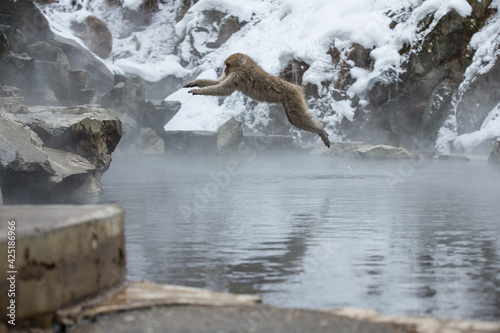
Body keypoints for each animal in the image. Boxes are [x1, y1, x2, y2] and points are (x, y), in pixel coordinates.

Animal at [182, 52, 330, 147]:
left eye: (228, 65)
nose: (225, 70)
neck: (244, 65)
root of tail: (295, 87)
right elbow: (217, 83)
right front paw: (195, 82)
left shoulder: (238, 75)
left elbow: (223, 89)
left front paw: (198, 91)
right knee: (295, 118)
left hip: (293, 97)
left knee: (296, 118)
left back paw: (320, 131)